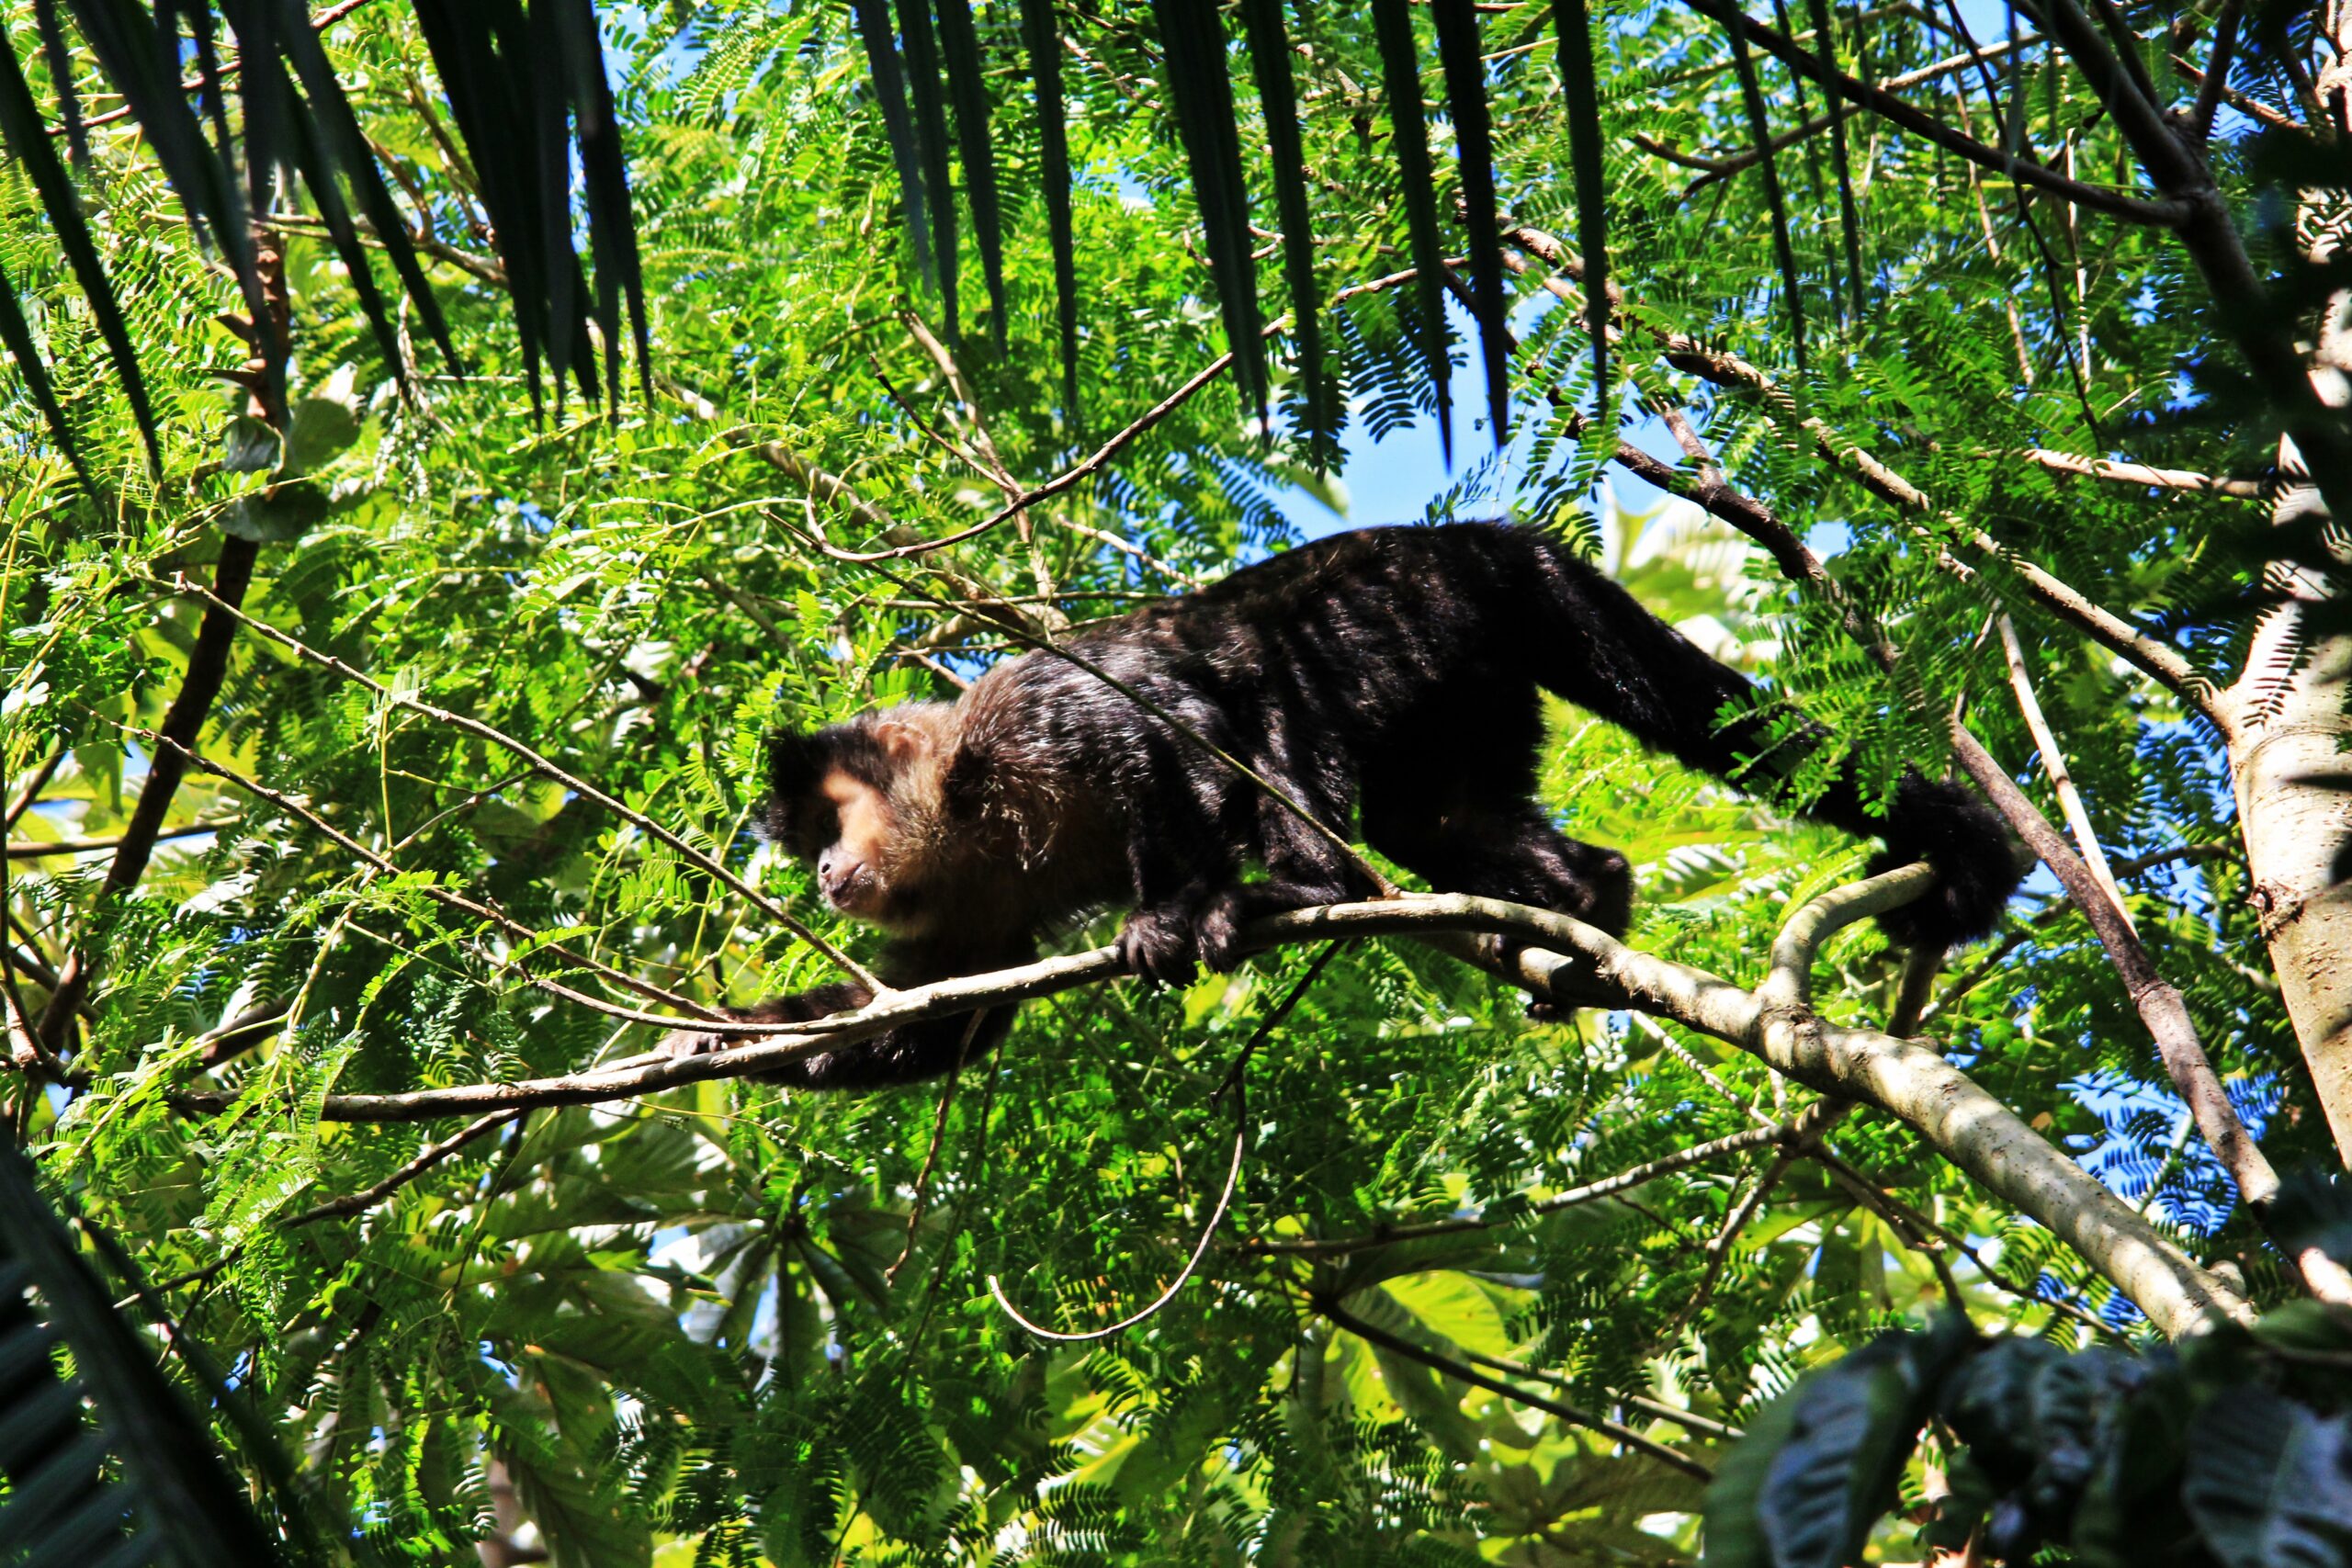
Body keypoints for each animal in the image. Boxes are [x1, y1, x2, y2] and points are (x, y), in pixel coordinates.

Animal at [663, 522, 2026, 1090]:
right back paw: (1584, 904)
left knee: (1267, 686)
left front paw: (1177, 915)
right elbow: (935, 1017)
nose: (823, 873)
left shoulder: (1025, 714)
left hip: (1409, 610)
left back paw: (1305, 884)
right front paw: (709, 1043)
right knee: (1442, 825)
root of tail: (1490, 535)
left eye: (830, 818)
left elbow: (1166, 727)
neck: (964, 804)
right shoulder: (965, 901)